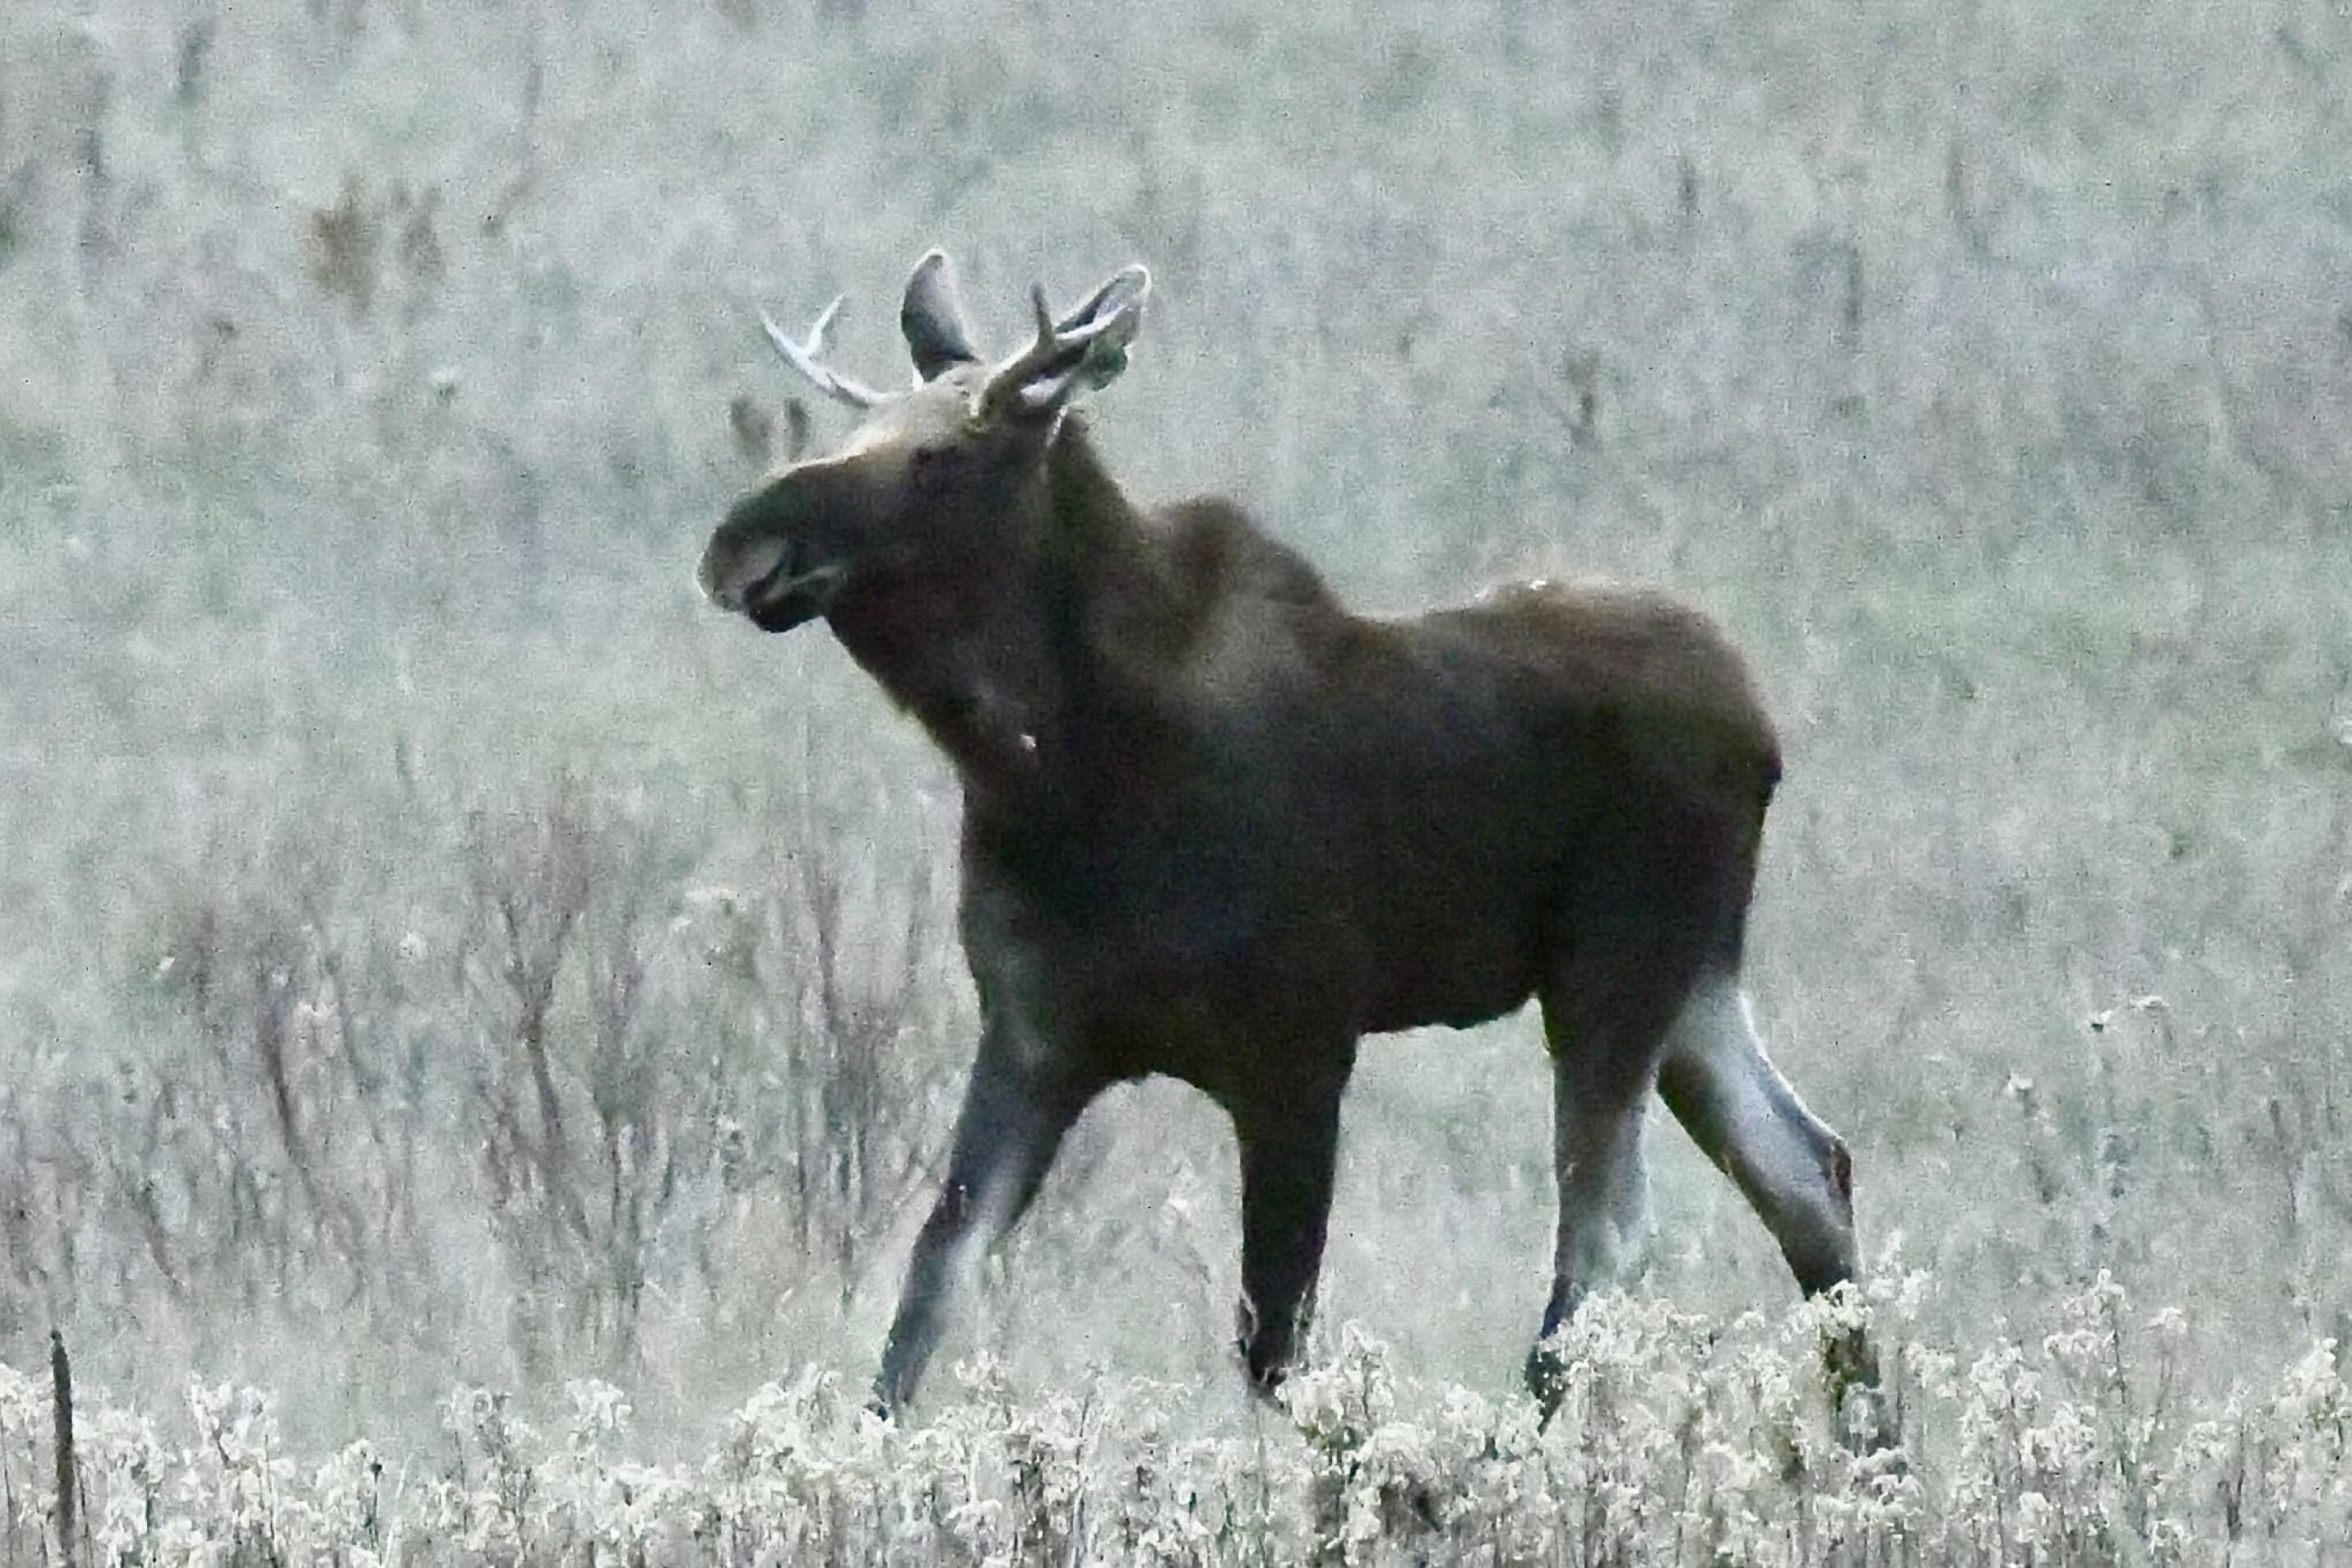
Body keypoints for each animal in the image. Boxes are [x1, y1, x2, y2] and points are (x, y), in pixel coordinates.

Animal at [698, 250, 1884, 1437]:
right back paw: (1874, 1444)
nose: (737, 543)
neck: (1047, 773)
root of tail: (1763, 729)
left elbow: (1274, 1340)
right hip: (1692, 979)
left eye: (941, 452)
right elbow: (931, 1287)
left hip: (1617, 966)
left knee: (1610, 1231)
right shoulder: (1037, 1034)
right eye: (859, 427)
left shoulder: (1299, 1044)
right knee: (1806, 1166)